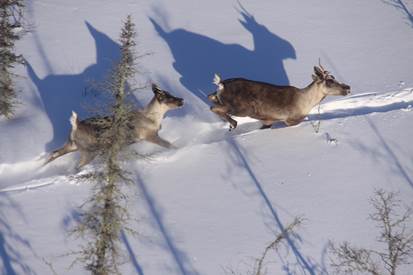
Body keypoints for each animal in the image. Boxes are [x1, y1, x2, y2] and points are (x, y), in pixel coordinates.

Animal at [43, 85, 183, 169]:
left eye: (170, 93)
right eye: (168, 97)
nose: (181, 100)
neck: (153, 119)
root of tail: (76, 126)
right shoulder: (149, 135)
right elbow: (168, 144)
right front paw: (180, 148)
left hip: (73, 145)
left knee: (54, 153)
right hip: (89, 151)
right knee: (77, 166)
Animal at [209, 64, 348, 130]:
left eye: (334, 78)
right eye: (329, 81)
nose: (347, 87)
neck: (306, 102)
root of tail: (221, 85)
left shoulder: (268, 121)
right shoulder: (290, 119)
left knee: (211, 98)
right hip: (242, 109)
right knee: (213, 108)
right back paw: (233, 123)